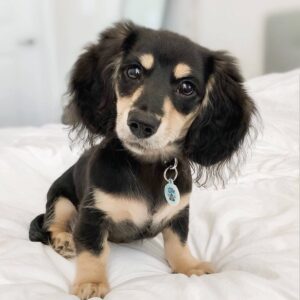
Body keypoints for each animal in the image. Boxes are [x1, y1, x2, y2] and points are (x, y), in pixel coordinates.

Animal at [29, 21, 256, 300]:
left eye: (187, 87)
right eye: (133, 71)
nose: (141, 124)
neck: (147, 166)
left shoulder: (179, 213)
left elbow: (178, 242)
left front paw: (189, 266)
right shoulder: (92, 215)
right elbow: (93, 251)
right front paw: (91, 282)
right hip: (61, 198)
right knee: (53, 223)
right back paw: (64, 240)